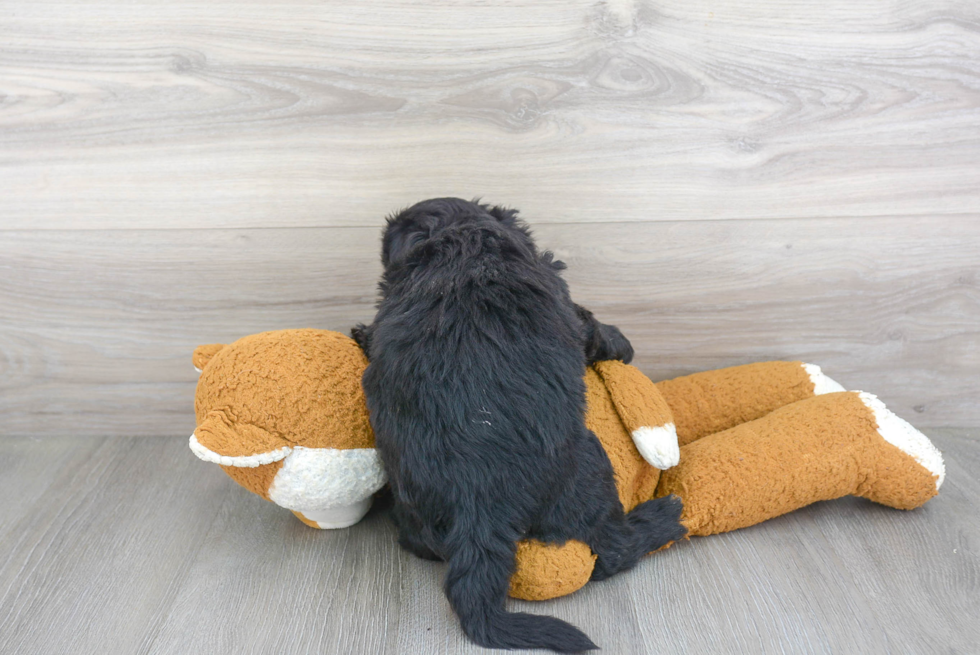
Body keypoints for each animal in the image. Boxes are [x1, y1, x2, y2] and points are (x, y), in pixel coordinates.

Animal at [356, 199, 684, 652]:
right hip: (591, 467)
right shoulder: (566, 301)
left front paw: (361, 332)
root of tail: (476, 506)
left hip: (414, 512)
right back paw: (662, 518)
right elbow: (589, 322)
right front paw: (621, 342)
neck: (462, 241)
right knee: (614, 549)